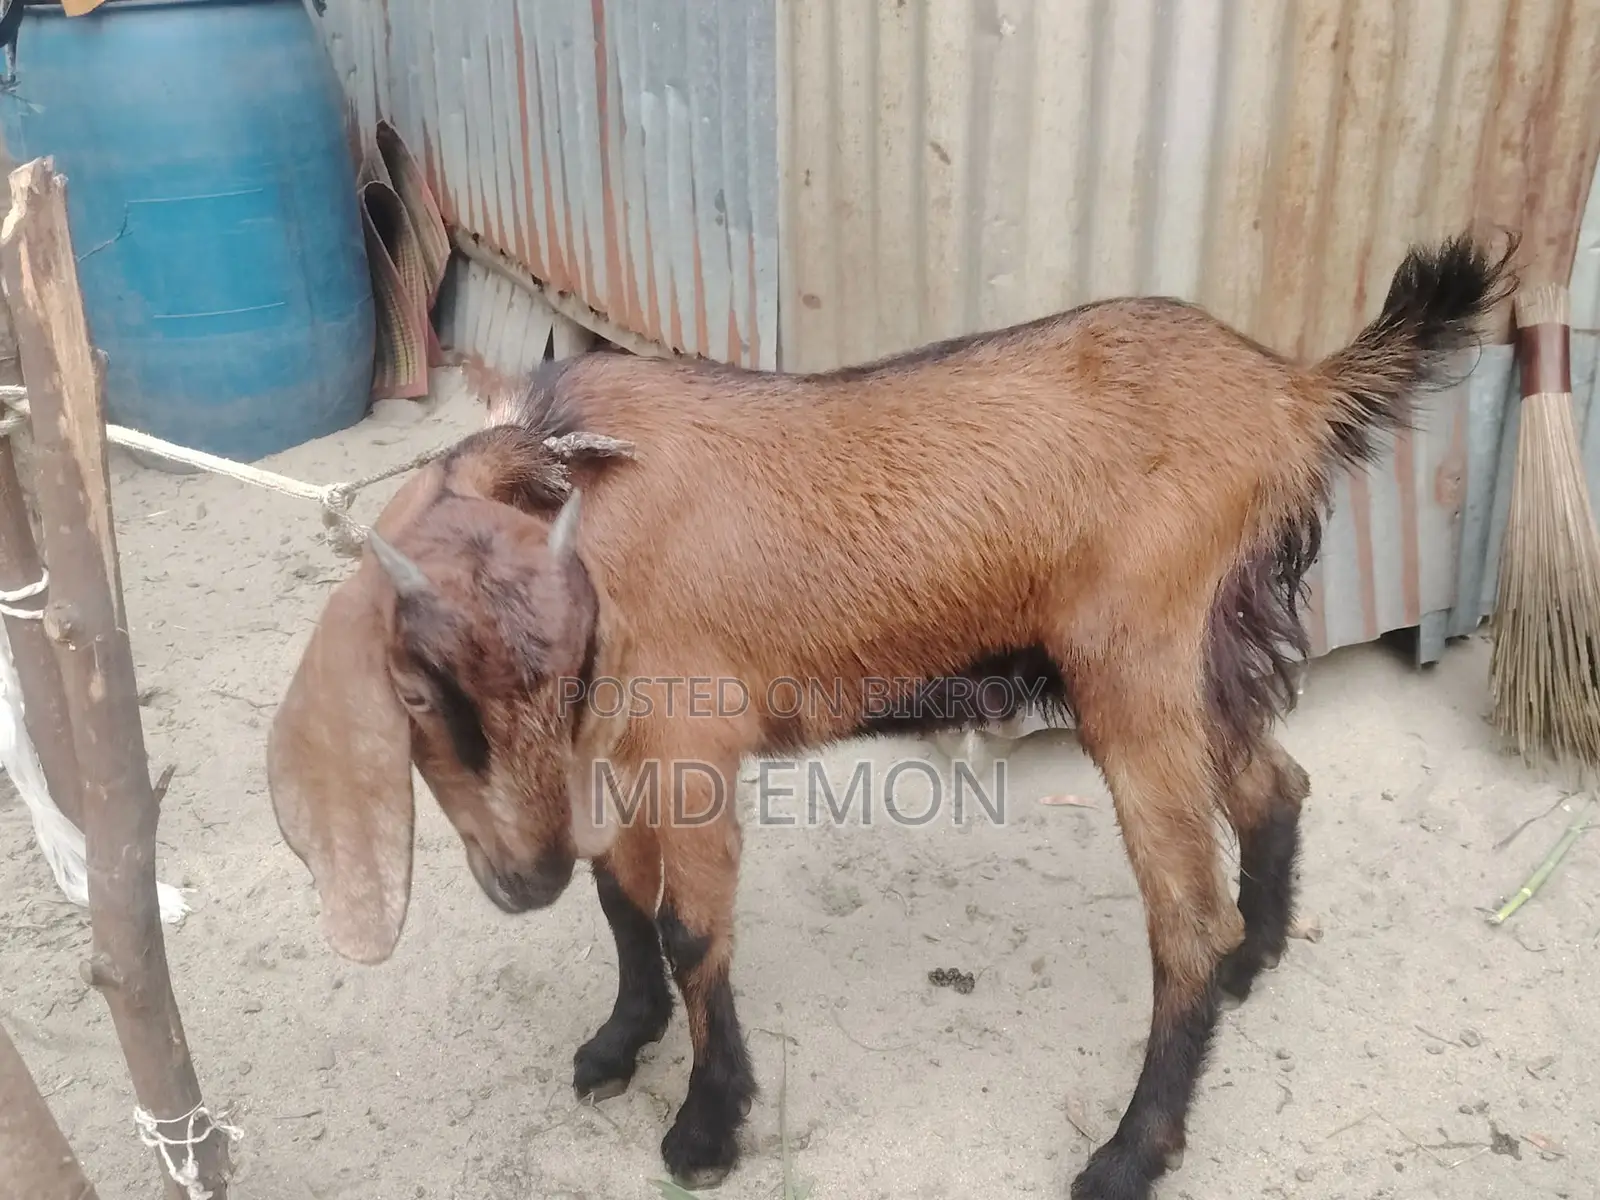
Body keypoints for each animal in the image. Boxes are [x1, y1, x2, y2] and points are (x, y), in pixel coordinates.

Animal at [266, 233, 1514, 1200]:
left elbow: (689, 930)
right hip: (1206, 658)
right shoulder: (613, 747)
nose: (519, 883)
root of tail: (1286, 395)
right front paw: (619, 1042)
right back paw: (1257, 956)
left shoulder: (689, 742)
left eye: (538, 656)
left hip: (1136, 670)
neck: (574, 498)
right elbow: (624, 901)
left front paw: (707, 1128)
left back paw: (1129, 1152)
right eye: (411, 690)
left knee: (1183, 921)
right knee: (1274, 786)